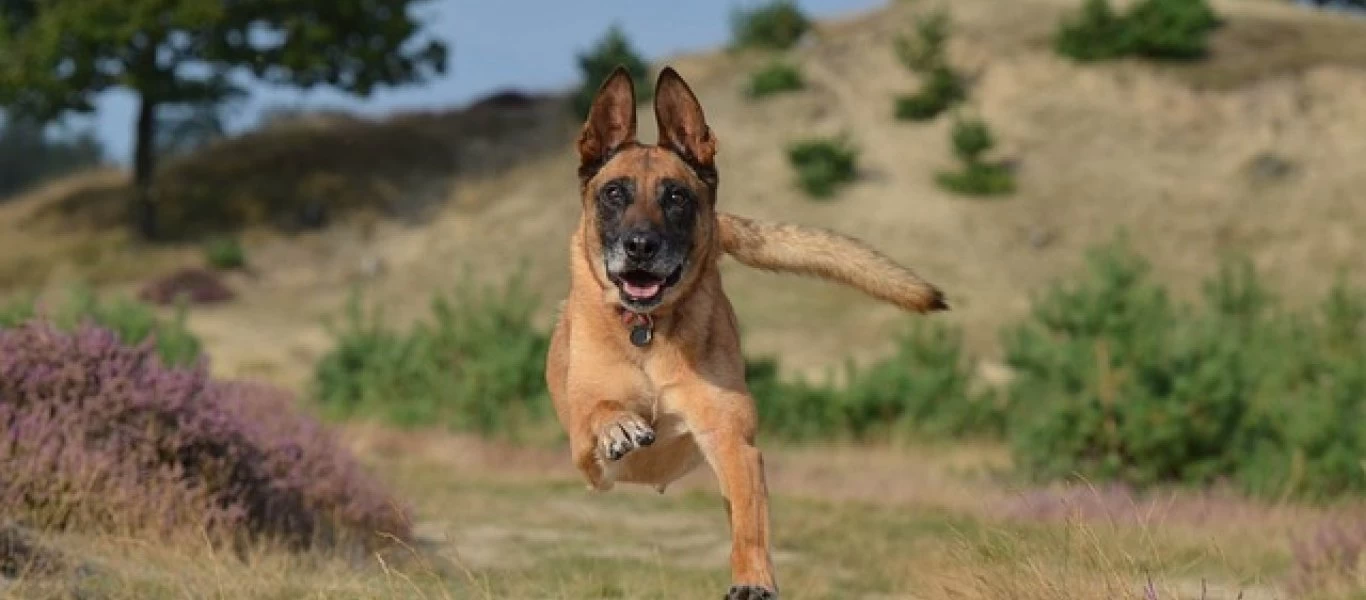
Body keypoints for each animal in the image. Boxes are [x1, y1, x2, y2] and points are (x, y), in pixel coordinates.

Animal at [543, 66, 950, 600]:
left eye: (676, 197)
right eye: (615, 193)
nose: (640, 246)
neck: (648, 333)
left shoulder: (733, 443)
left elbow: (749, 526)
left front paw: (753, 579)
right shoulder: (584, 452)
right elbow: (600, 411)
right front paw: (620, 425)